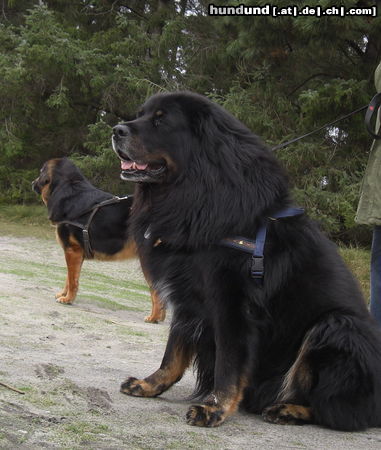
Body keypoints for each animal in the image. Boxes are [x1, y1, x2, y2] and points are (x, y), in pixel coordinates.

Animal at [31, 158, 165, 324]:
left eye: (40, 172)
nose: (32, 182)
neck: (69, 189)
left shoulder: (72, 250)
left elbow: (72, 280)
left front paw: (68, 299)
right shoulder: (75, 253)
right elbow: (69, 278)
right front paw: (63, 295)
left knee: (156, 290)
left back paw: (154, 317)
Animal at [111, 90, 380, 428]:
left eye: (161, 120)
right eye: (141, 115)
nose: (116, 130)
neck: (198, 191)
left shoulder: (232, 305)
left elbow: (228, 363)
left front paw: (215, 408)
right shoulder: (187, 297)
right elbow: (173, 352)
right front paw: (150, 384)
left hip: (338, 325)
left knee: (340, 409)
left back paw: (288, 409)